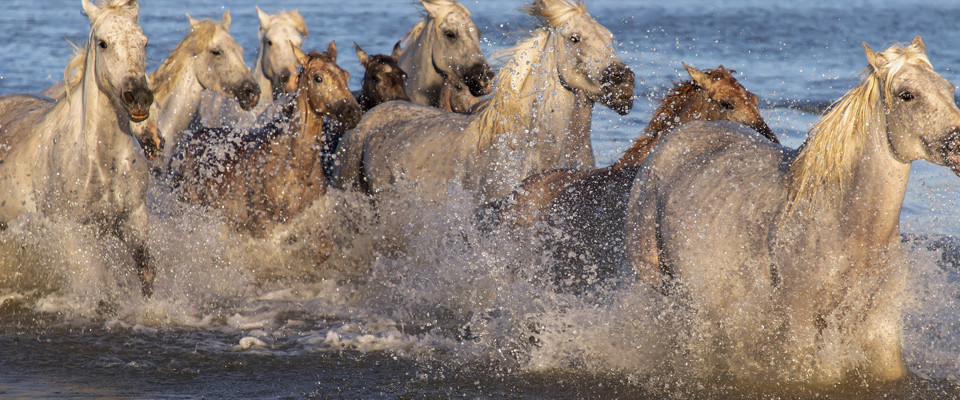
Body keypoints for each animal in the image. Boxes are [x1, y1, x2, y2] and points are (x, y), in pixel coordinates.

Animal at [0, 0, 156, 294]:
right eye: (103, 44)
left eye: (144, 42)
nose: (139, 98)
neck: (100, 161)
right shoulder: (76, 233)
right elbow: (97, 281)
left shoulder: (135, 218)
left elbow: (147, 272)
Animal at [628, 36, 960, 382]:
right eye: (907, 95)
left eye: (949, 88)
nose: (958, 147)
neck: (848, 223)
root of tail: (674, 138)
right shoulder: (799, 324)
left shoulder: (881, 325)